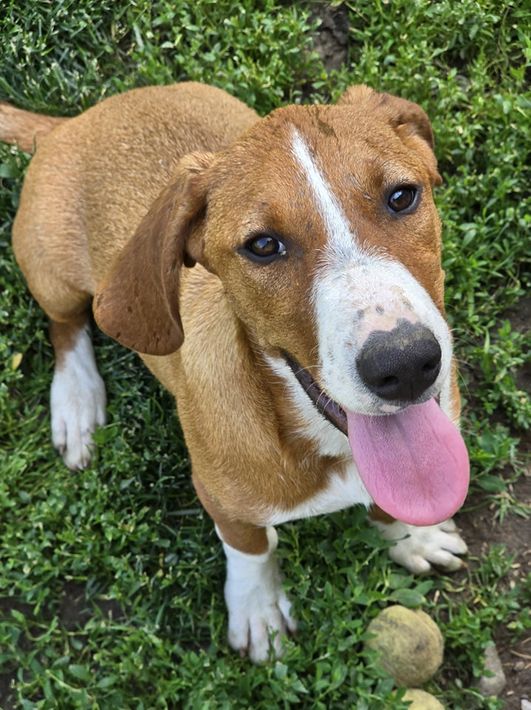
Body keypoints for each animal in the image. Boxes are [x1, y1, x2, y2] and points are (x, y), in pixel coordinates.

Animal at [1, 82, 469, 663]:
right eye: (263, 246)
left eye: (402, 196)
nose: (405, 364)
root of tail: (69, 124)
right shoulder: (221, 498)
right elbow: (251, 548)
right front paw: (257, 608)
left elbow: (388, 505)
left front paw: (411, 535)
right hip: (51, 269)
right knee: (64, 325)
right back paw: (77, 403)